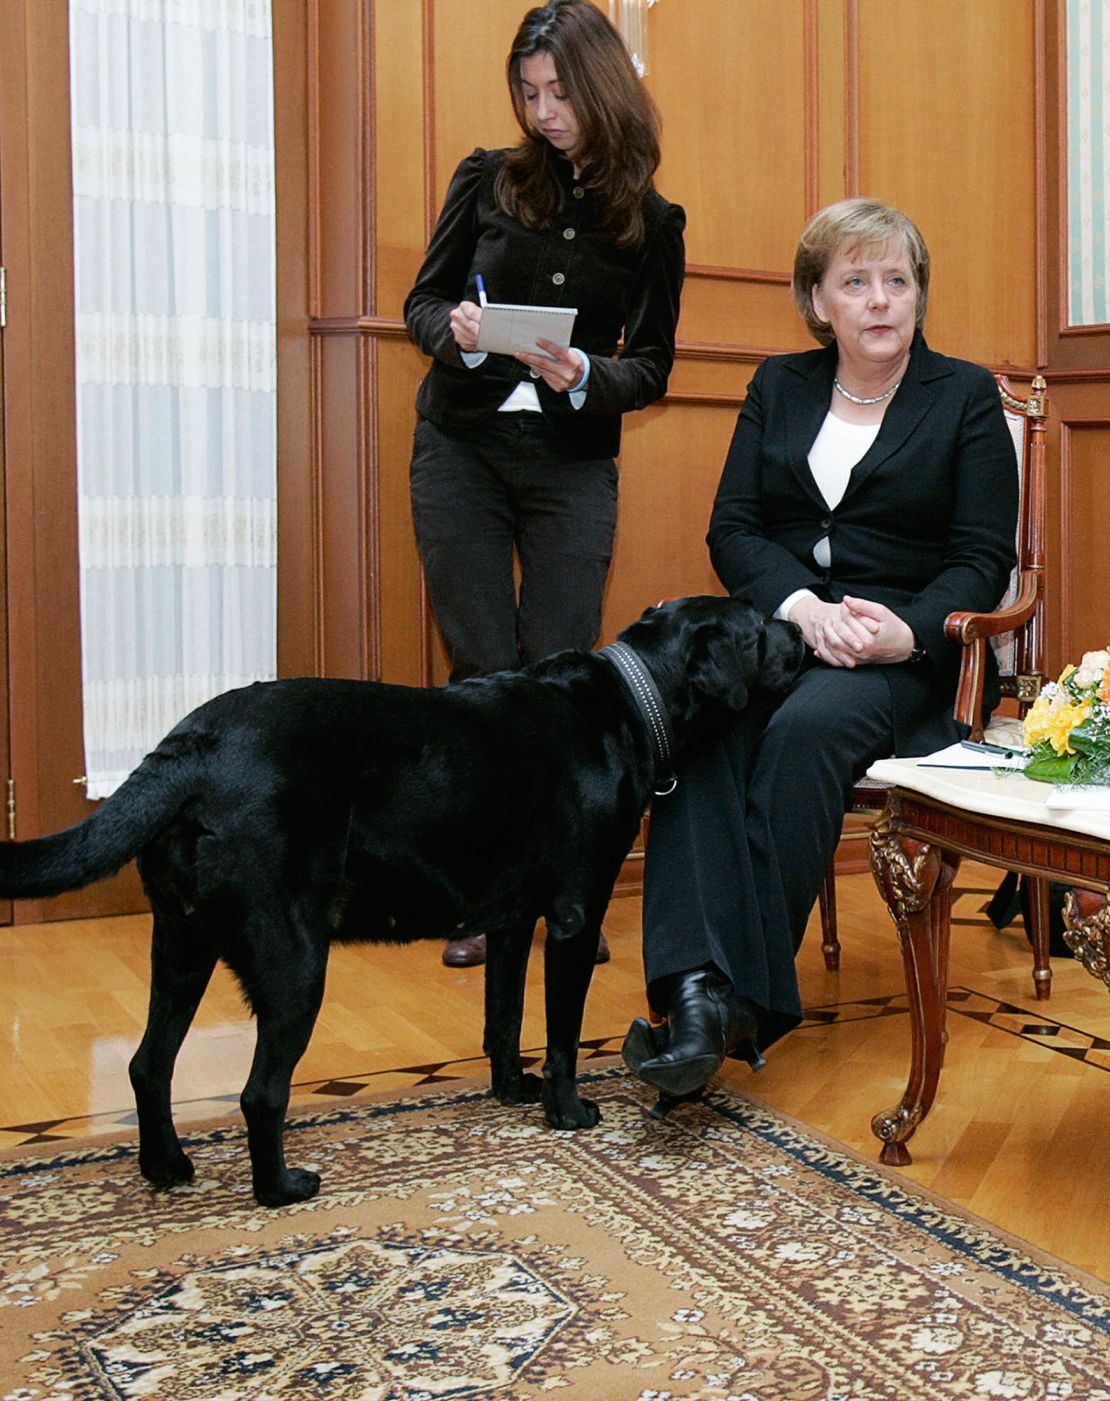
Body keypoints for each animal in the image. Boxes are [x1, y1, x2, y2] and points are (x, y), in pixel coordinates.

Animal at [0, 594, 796, 1204]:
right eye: (758, 628)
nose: (799, 629)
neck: (632, 699)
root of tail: (191, 745)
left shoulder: (511, 923)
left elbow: (503, 1017)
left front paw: (512, 1089)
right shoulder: (574, 915)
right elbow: (563, 1035)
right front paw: (566, 1111)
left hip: (182, 945)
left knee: (148, 1063)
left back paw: (166, 1166)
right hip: (293, 959)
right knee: (260, 1092)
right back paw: (281, 1188)